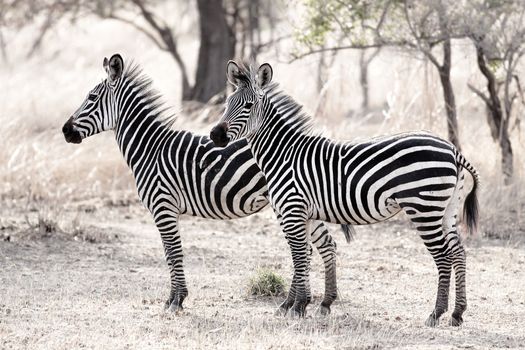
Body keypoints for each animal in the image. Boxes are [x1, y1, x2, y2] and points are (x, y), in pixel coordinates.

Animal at [61, 55, 348, 314]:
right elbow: (172, 253)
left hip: (290, 202)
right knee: (323, 244)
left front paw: (175, 301)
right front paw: (175, 298)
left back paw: (300, 304)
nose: (65, 130)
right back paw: (318, 302)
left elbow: (172, 252)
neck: (150, 148)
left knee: (308, 247)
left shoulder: (163, 207)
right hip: (302, 203)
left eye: (91, 98)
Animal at [209, 60, 478, 326]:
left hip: (424, 208)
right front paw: (300, 305)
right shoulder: (304, 213)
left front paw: (296, 307)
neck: (283, 154)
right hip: (447, 209)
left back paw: (436, 313)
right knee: (458, 252)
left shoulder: (292, 210)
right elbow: (304, 256)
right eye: (226, 104)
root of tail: (452, 149)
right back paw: (457, 313)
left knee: (443, 256)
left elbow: (299, 256)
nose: (215, 135)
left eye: (248, 106)